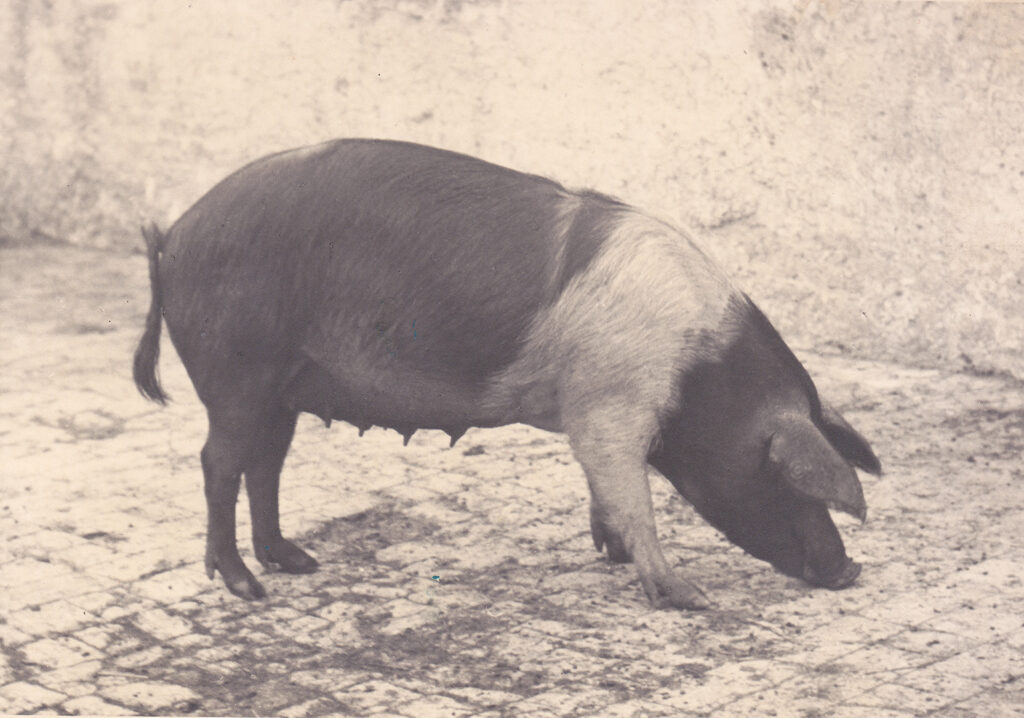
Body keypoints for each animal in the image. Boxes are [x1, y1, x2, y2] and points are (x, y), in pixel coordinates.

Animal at [133, 139, 881, 609]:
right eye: (787, 480)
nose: (848, 568)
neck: (696, 372)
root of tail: (172, 237)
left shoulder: (589, 411)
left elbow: (604, 488)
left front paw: (610, 554)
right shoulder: (610, 407)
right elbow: (631, 493)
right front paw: (688, 597)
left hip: (280, 390)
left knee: (265, 465)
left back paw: (295, 562)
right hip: (236, 371)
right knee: (218, 463)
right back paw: (246, 586)